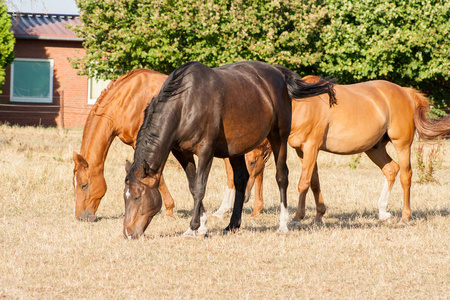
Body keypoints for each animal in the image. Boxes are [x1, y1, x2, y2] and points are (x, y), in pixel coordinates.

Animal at [122, 61, 334, 239]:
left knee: (282, 176)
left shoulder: (205, 151)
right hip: (237, 149)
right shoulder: (182, 153)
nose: (128, 233)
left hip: (278, 138)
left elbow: (200, 187)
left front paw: (193, 227)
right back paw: (233, 224)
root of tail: (278, 74)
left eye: (137, 196)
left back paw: (283, 225)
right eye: (125, 197)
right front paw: (203, 226)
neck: (186, 103)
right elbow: (193, 186)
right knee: (241, 179)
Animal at [218, 75, 450, 225]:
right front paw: (319, 215)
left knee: (405, 175)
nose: (244, 197)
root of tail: (406, 92)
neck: (300, 104)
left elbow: (303, 182)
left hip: (401, 143)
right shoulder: (303, 150)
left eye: (251, 162)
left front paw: (297, 218)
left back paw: (405, 216)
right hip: (374, 148)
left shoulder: (311, 146)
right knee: (391, 170)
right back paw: (383, 211)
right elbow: (314, 181)